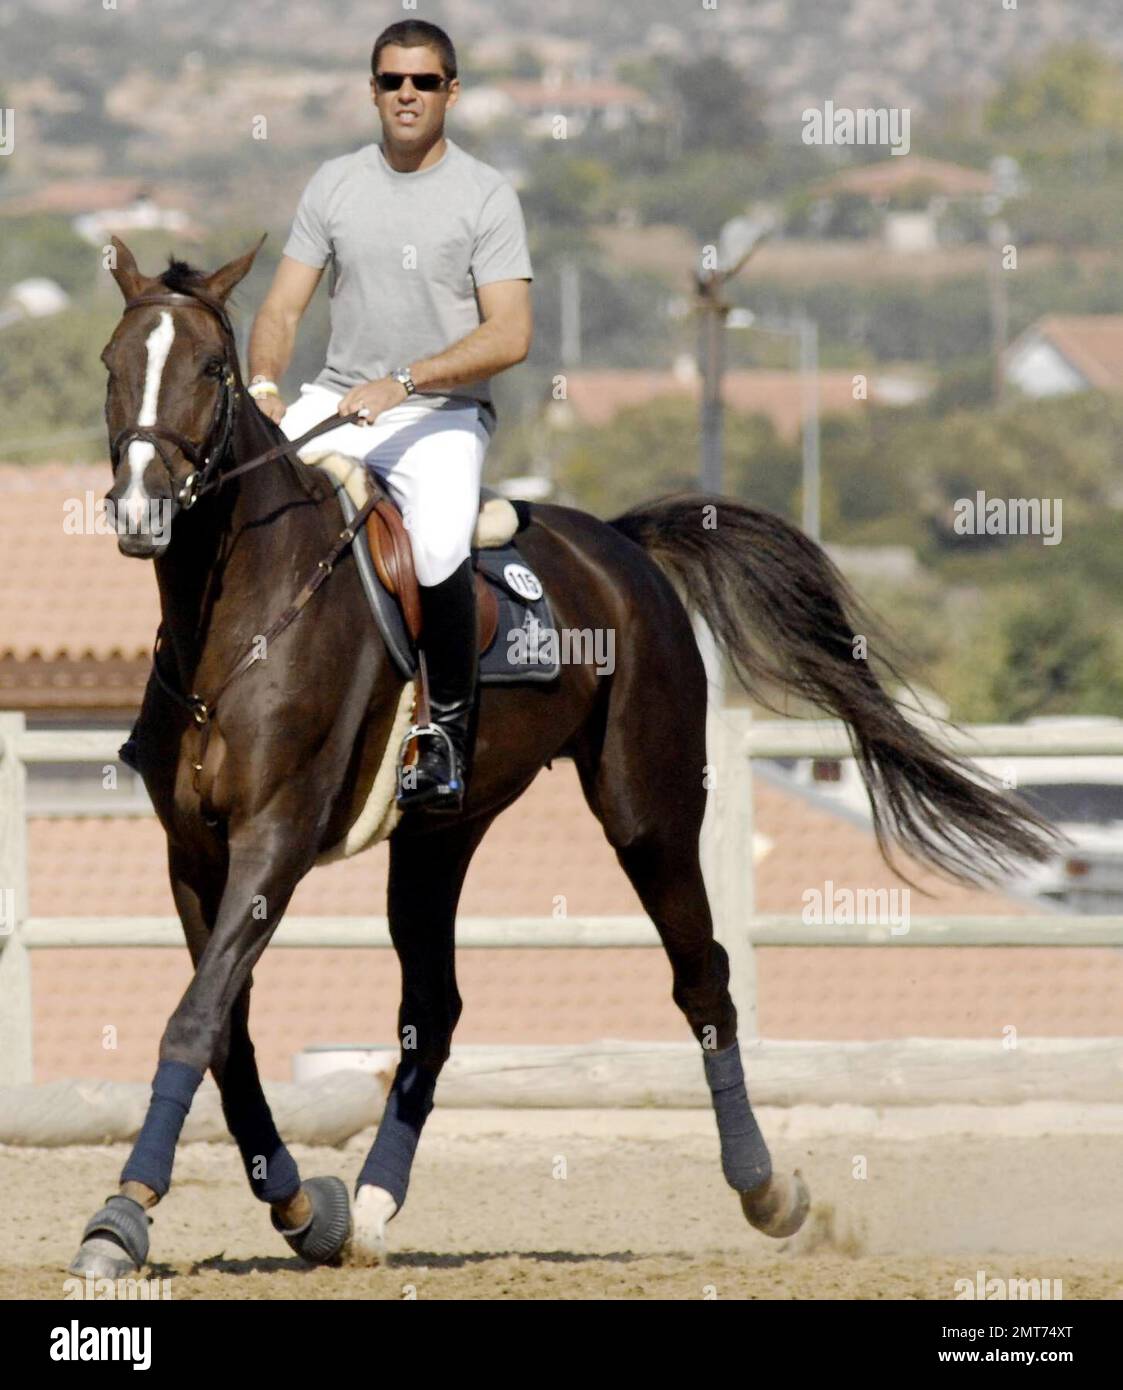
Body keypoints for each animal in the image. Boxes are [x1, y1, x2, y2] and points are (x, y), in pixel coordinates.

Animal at [70, 236, 1050, 1273]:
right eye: (111, 363)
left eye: (210, 370)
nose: (139, 511)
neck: (239, 618)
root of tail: (619, 545)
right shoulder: (194, 851)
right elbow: (226, 1031)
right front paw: (304, 1208)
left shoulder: (275, 839)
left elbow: (196, 1018)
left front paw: (122, 1215)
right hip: (439, 836)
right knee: (435, 1010)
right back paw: (371, 1207)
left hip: (648, 814)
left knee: (702, 979)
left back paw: (766, 1190)